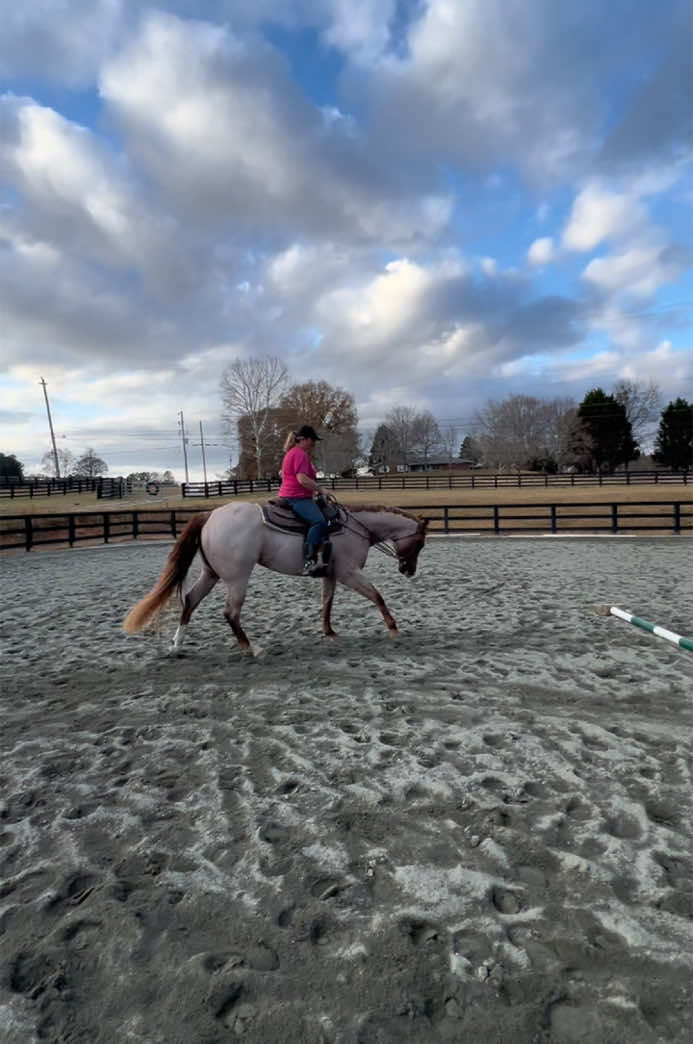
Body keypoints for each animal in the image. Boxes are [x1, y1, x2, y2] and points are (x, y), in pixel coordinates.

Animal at [123, 499, 427, 651]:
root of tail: (210, 515)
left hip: (211, 574)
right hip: (237, 579)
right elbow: (377, 597)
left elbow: (326, 603)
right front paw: (393, 628)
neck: (355, 527)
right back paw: (251, 648)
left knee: (190, 600)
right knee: (230, 612)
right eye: (421, 543)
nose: (408, 570)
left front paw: (329, 633)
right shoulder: (349, 573)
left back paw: (177, 644)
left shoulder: (331, 574)